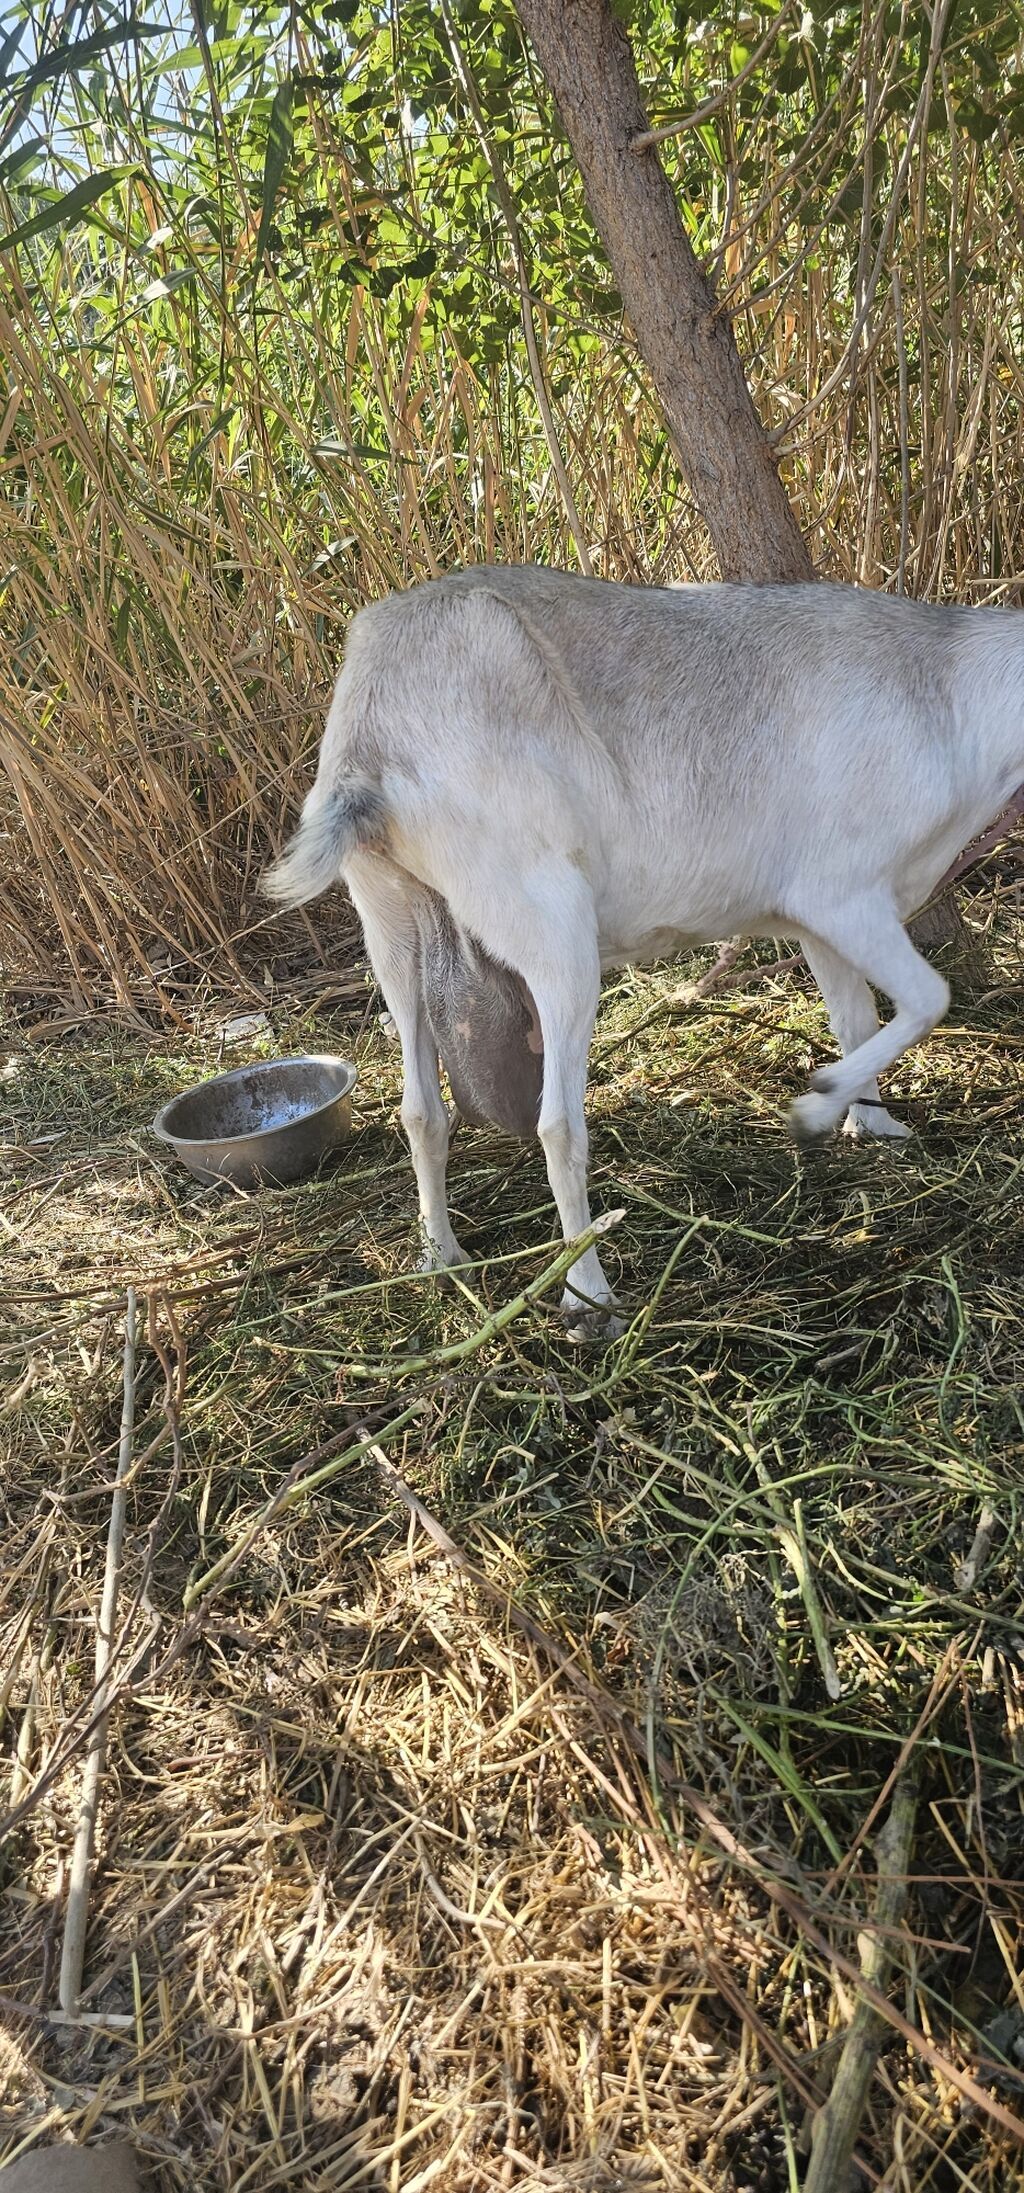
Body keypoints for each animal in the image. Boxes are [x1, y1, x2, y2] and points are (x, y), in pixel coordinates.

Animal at [264, 566, 1023, 1326]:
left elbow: (855, 1017)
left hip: (389, 921)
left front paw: (870, 1122)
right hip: (550, 923)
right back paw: (588, 1298)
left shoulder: (821, 920)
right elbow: (928, 997)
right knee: (557, 1126)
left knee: (421, 1108)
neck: (951, 693)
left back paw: (440, 1256)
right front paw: (817, 1106)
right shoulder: (843, 893)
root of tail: (369, 744)